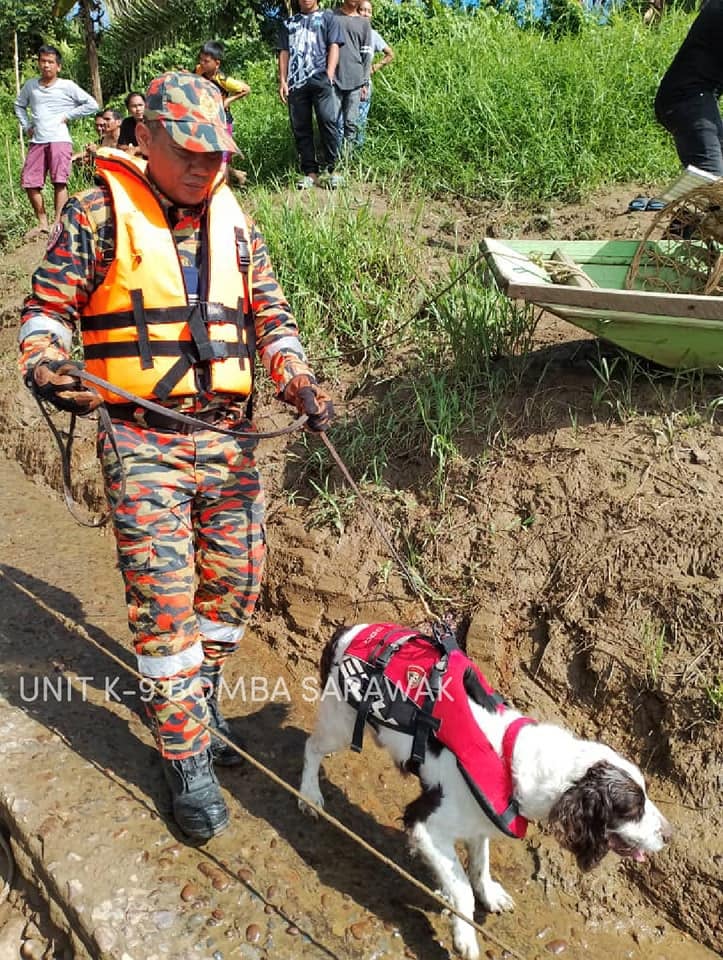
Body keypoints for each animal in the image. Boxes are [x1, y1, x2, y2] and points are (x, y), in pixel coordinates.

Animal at [300, 624, 672, 960]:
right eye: (632, 808)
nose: (669, 835)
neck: (512, 759)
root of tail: (348, 631)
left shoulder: (481, 820)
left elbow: (479, 866)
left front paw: (489, 895)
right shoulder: (426, 825)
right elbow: (462, 888)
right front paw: (464, 935)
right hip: (339, 725)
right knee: (310, 747)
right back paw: (309, 794)